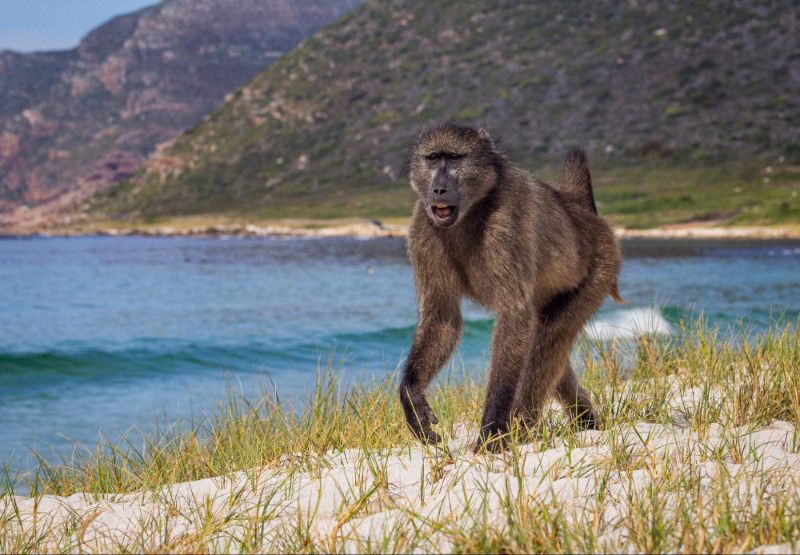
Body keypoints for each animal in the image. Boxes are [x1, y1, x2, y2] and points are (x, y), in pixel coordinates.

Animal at [398, 123, 622, 452]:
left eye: (454, 158)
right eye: (433, 158)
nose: (438, 189)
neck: (473, 208)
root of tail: (581, 212)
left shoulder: (508, 220)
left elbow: (514, 315)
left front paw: (491, 433)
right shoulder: (421, 229)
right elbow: (442, 318)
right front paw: (412, 398)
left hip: (601, 267)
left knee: (548, 336)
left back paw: (520, 429)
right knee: (550, 352)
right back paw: (586, 423)